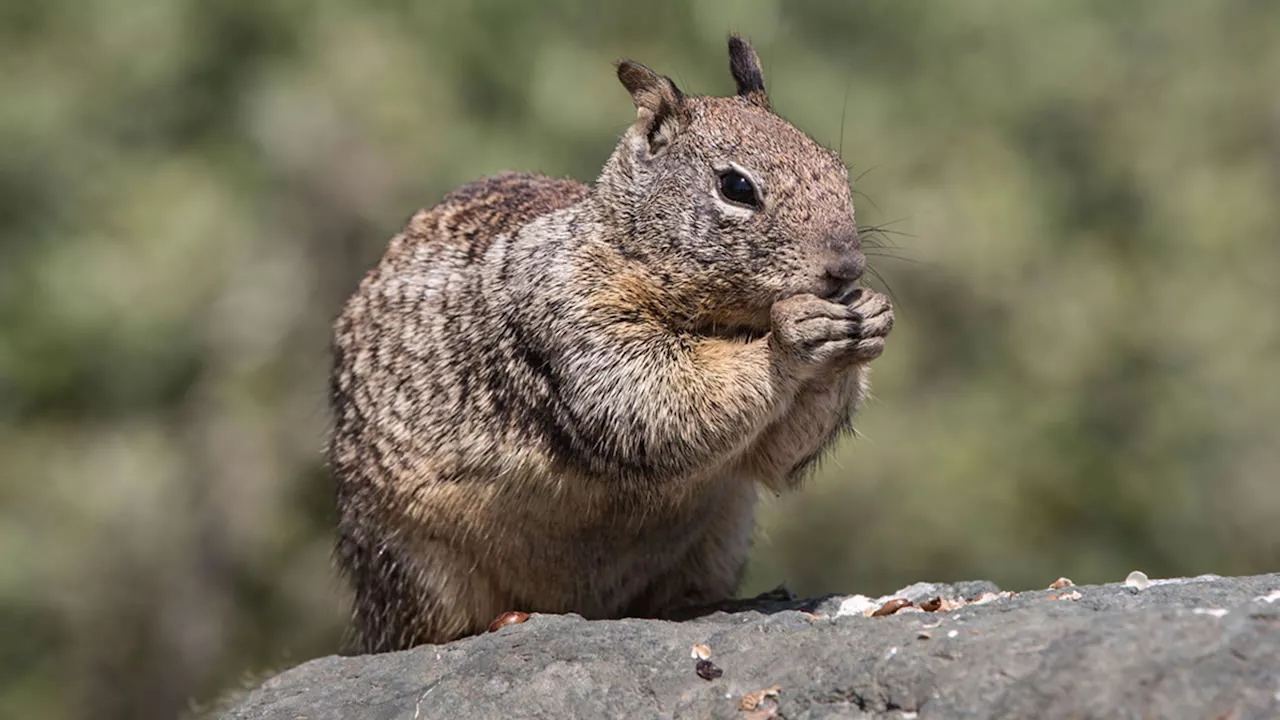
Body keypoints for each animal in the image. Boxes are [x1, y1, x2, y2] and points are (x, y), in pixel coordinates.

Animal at [327, 35, 890, 650]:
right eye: (737, 187)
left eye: (836, 167)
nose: (846, 267)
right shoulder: (574, 318)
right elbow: (654, 396)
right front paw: (792, 335)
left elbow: (776, 458)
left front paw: (871, 315)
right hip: (415, 564)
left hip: (723, 532)